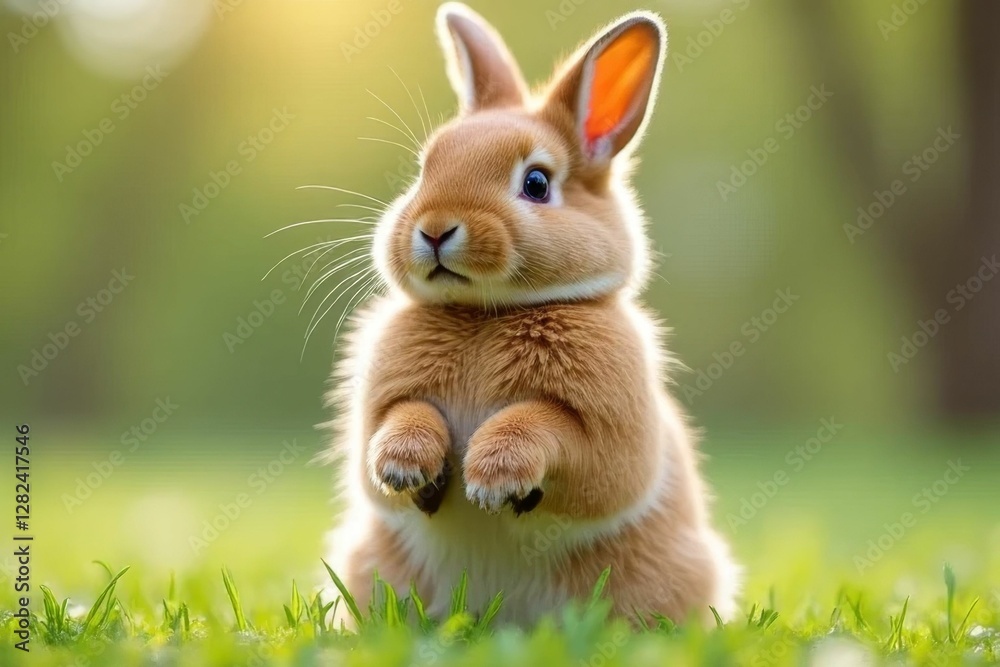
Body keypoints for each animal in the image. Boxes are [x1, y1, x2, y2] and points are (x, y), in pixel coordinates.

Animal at [322, 2, 740, 627]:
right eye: (424, 170)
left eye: (537, 183)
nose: (435, 228)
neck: (486, 312)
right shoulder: (382, 405)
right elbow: (402, 420)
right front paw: (404, 468)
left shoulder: (608, 432)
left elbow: (552, 431)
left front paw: (493, 480)